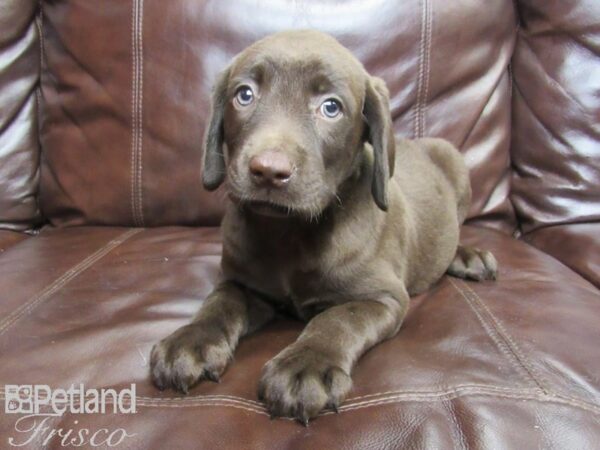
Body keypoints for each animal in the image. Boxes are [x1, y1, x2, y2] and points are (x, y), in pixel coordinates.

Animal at [150, 30, 496, 426]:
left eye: (331, 107)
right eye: (245, 95)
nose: (268, 170)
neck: (288, 232)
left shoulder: (384, 296)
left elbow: (338, 318)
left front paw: (305, 366)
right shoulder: (241, 281)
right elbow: (219, 302)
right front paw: (190, 340)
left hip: (453, 160)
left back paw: (468, 257)